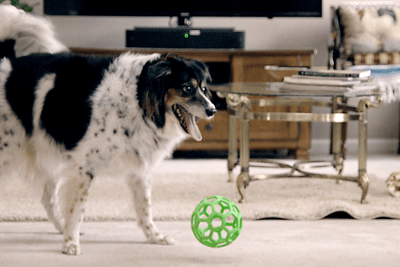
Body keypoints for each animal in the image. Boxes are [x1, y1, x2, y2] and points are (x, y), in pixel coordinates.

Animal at [0, 4, 216, 256]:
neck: (138, 100)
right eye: (187, 88)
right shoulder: (84, 166)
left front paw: (154, 237)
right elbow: (78, 208)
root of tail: (8, 61)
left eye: (204, 88)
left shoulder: (140, 169)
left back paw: (60, 227)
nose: (213, 110)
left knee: (47, 199)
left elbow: (145, 208)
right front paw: (70, 242)